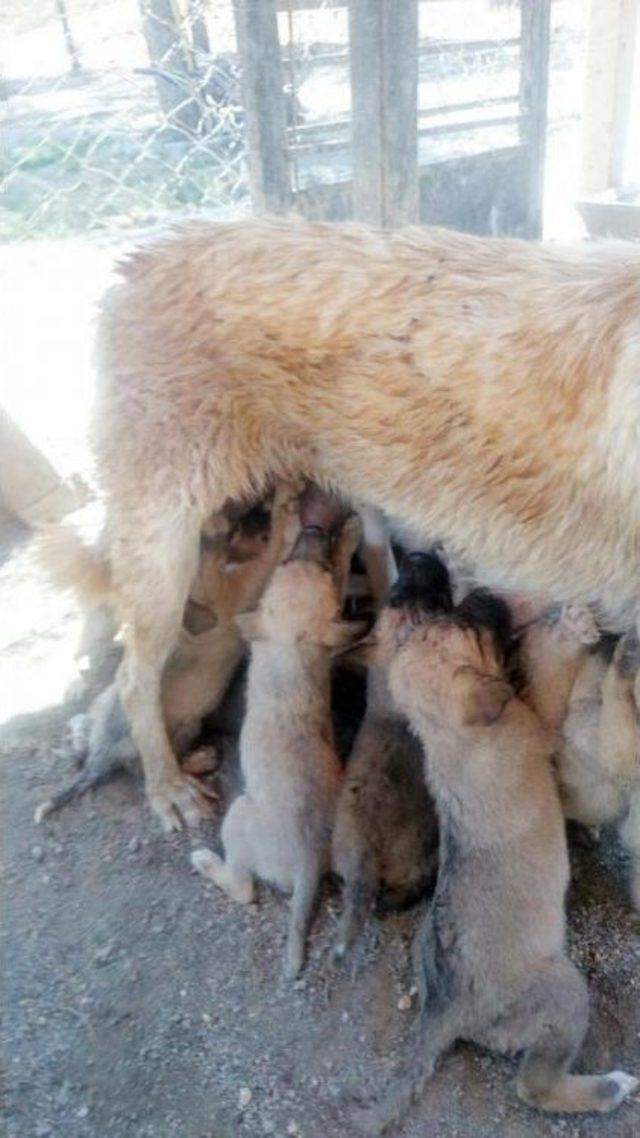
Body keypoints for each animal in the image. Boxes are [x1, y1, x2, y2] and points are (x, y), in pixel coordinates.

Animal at [189, 516, 362, 978]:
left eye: (315, 568)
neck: (292, 650)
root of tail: (308, 861)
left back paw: (206, 862)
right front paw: (348, 535)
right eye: (292, 566)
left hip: (238, 816)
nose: (315, 528)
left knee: (244, 888)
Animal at [359, 559, 633, 1128]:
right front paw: (572, 628)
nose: (485, 591)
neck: (450, 736)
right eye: (470, 629)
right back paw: (608, 1089)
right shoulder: (541, 728)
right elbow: (551, 680)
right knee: (534, 1087)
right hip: (563, 993)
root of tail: (446, 1013)